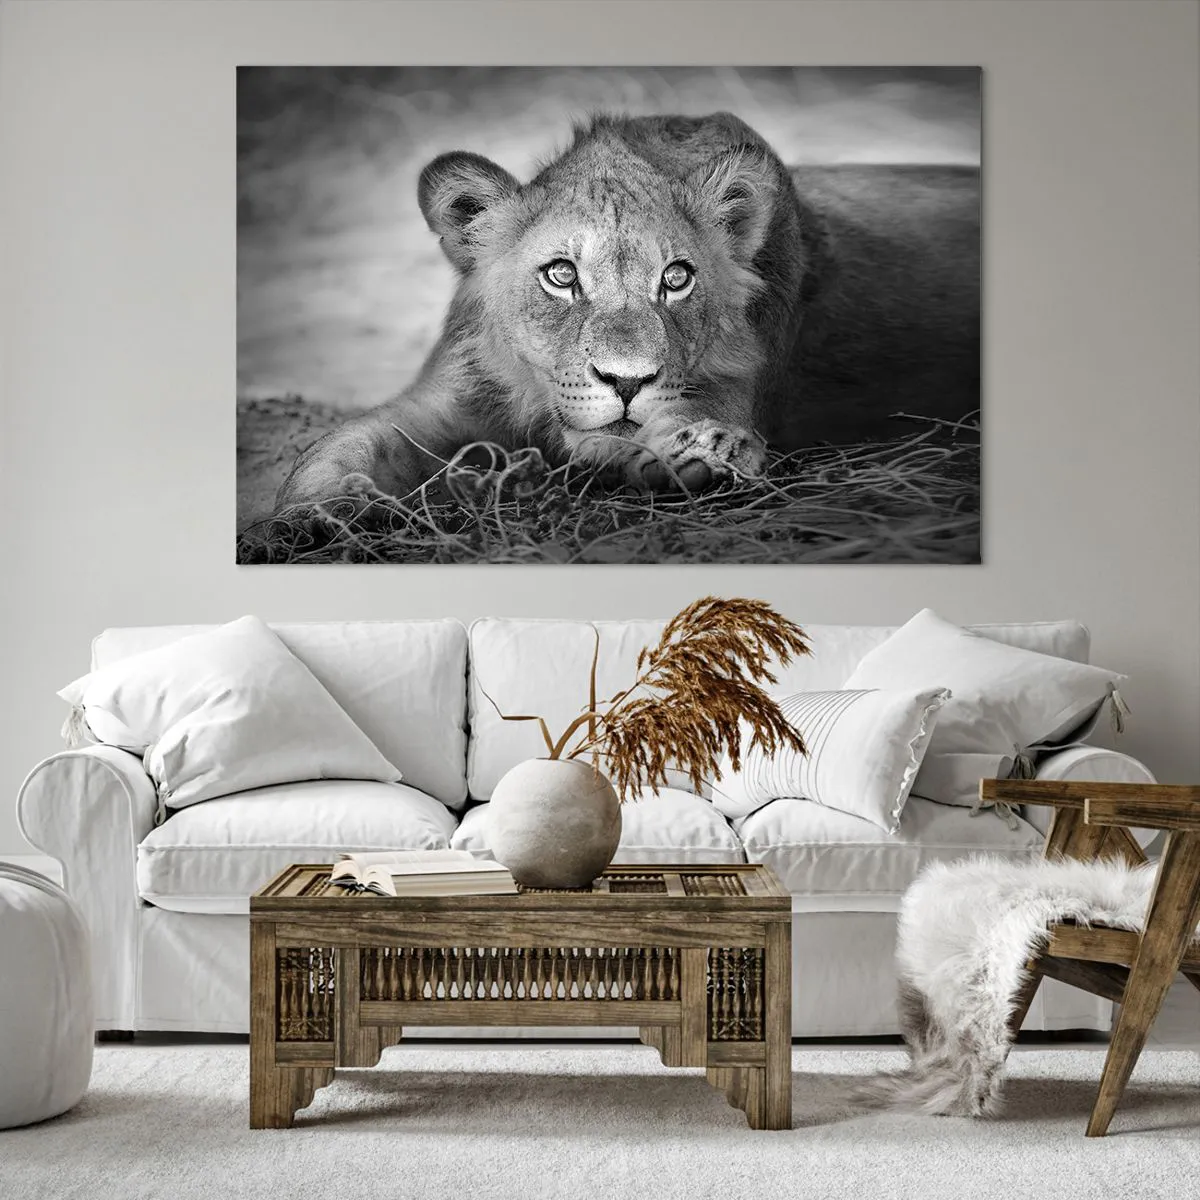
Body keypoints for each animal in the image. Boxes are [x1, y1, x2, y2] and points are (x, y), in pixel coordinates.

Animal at [275, 111, 978, 509]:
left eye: (676, 279)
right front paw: (315, 514)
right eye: (561, 275)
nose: (627, 381)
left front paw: (705, 453)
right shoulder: (445, 400)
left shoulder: (736, 383)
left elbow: (696, 420)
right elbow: (341, 445)